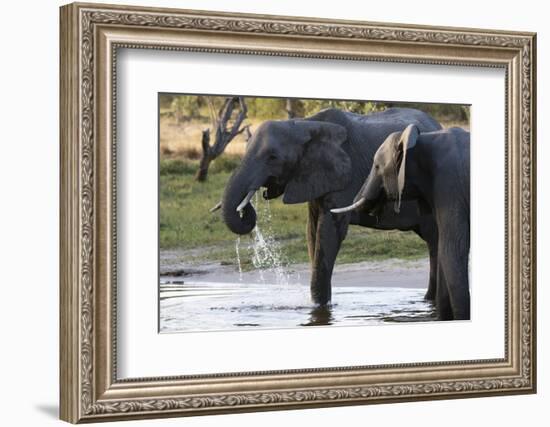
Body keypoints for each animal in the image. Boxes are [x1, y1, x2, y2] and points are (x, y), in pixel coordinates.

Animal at [220, 107, 444, 308]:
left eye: (272, 157)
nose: (247, 208)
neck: (303, 124)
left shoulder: (344, 174)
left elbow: (328, 231)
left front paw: (319, 307)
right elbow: (312, 232)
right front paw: (318, 306)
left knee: (434, 240)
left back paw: (430, 301)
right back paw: (427, 301)